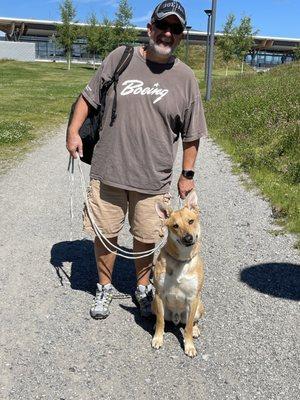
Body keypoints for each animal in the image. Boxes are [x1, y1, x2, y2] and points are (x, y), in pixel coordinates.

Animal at [151, 191, 205, 356]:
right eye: (175, 226)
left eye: (191, 221)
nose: (188, 238)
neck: (181, 260)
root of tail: (176, 317)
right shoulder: (159, 295)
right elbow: (160, 320)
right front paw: (158, 338)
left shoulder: (193, 298)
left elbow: (187, 327)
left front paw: (189, 346)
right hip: (153, 304)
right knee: (160, 317)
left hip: (199, 306)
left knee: (192, 321)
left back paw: (195, 330)